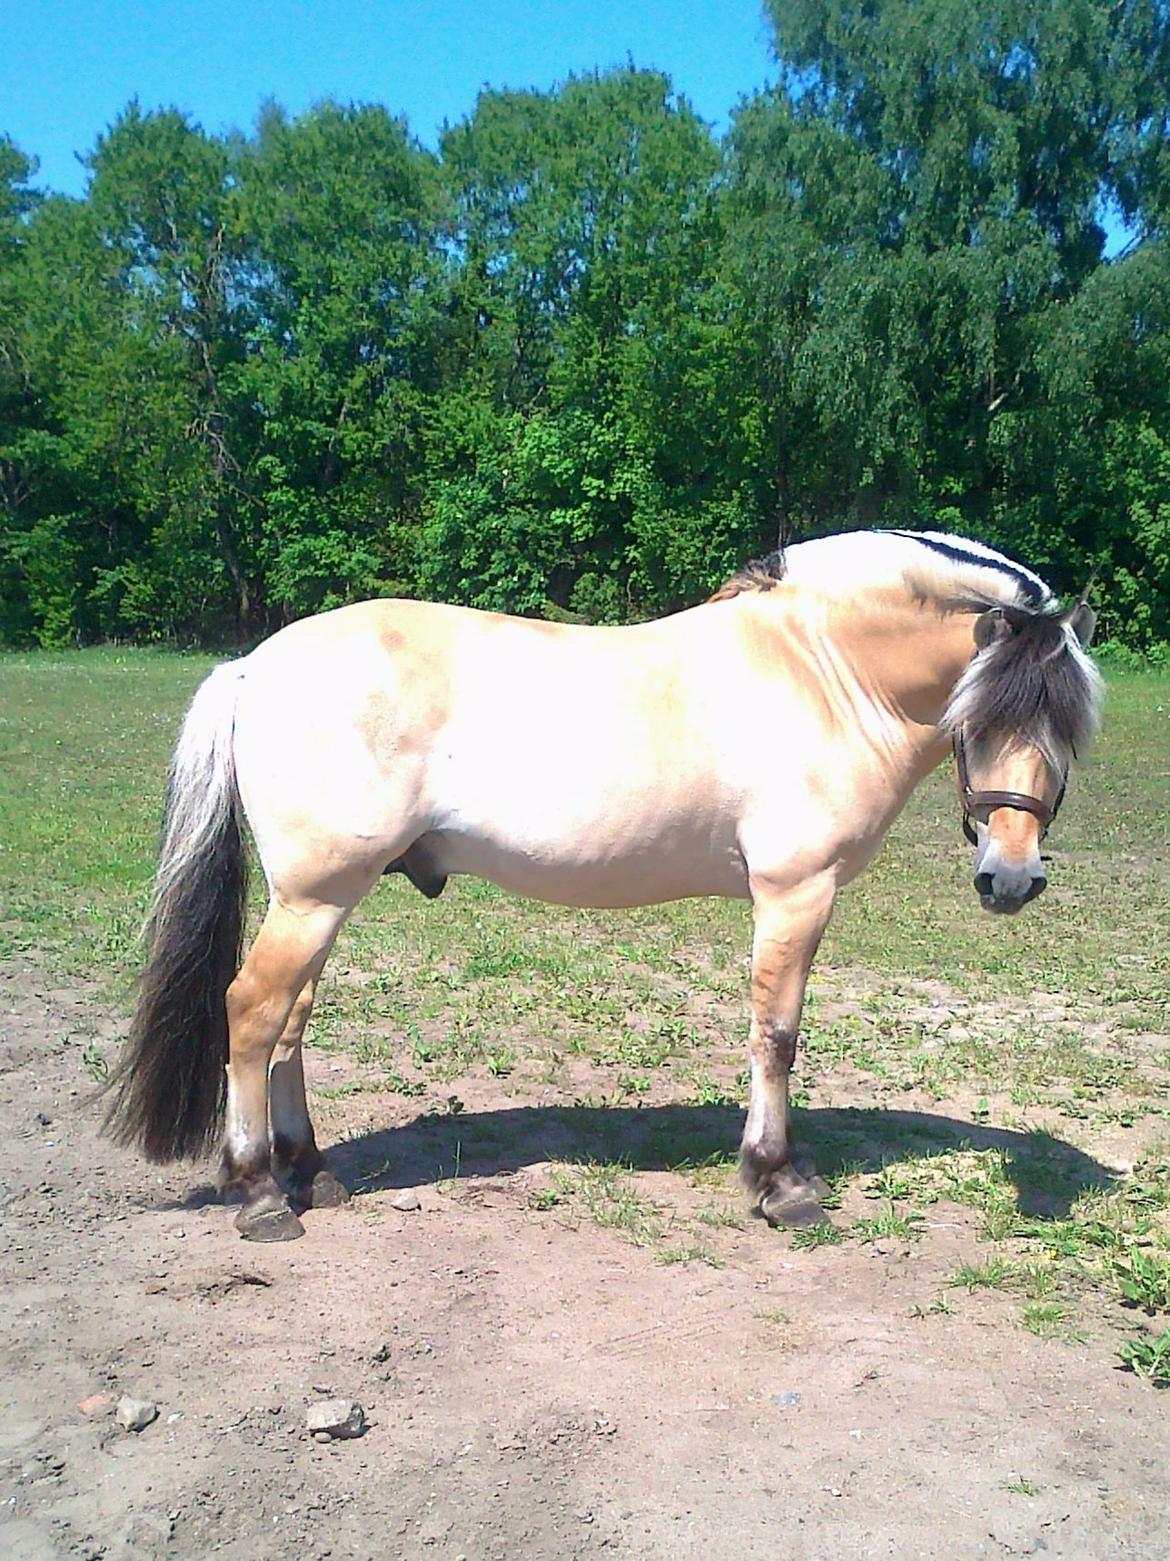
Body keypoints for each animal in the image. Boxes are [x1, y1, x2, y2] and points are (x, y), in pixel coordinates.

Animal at [105, 530, 1104, 1236]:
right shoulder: (796, 892)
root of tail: (254, 665)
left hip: (320, 901)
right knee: (252, 1013)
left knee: (288, 1026)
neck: (820, 669)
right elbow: (776, 1035)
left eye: (1067, 726)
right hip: (315, 899)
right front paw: (779, 1181)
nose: (1011, 877)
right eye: (982, 713)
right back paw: (259, 1194)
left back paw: (310, 1173)